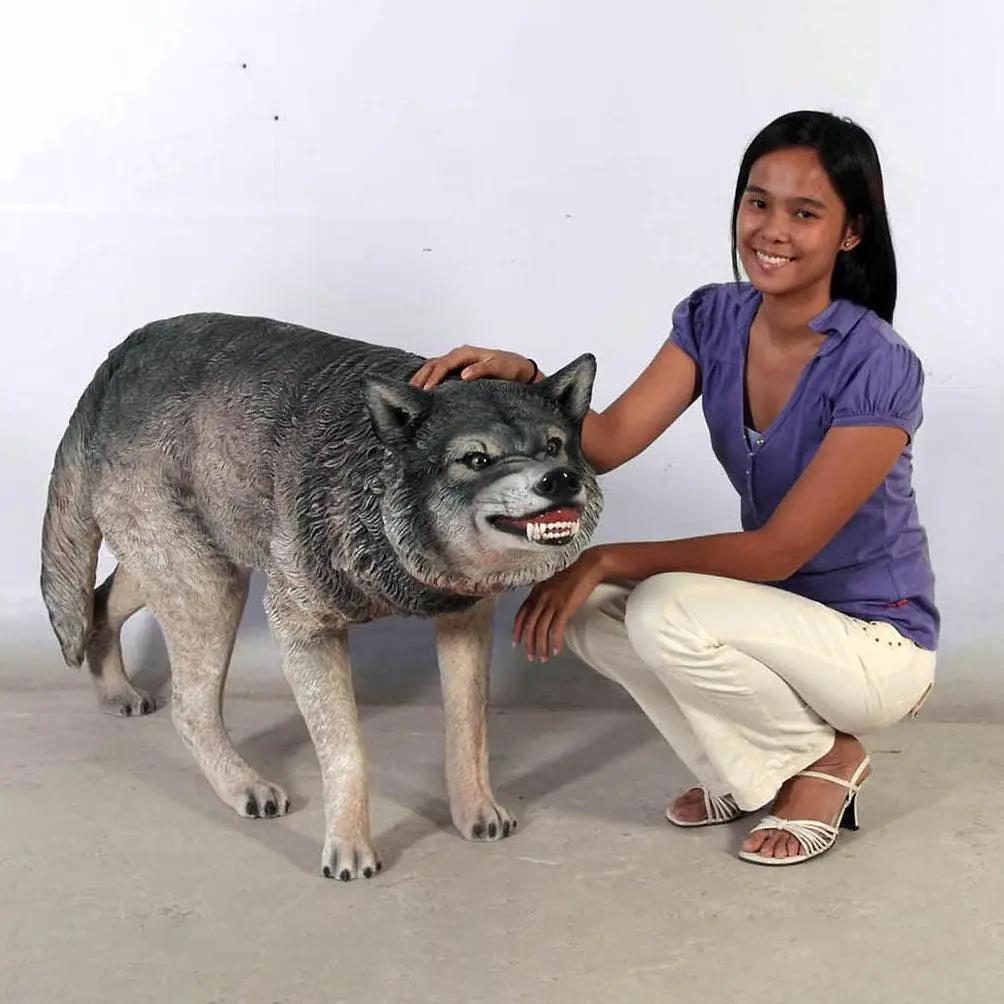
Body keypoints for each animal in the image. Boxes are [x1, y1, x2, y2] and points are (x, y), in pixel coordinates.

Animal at [40, 313, 602, 881]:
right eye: (476, 458)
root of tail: (123, 354)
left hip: (183, 568)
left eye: (554, 445)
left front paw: (476, 810)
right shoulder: (304, 628)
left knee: (97, 605)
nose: (559, 479)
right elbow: (347, 753)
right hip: (209, 586)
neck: (377, 499)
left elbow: (469, 729)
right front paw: (349, 848)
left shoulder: (464, 619)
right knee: (188, 707)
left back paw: (115, 692)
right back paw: (243, 785)